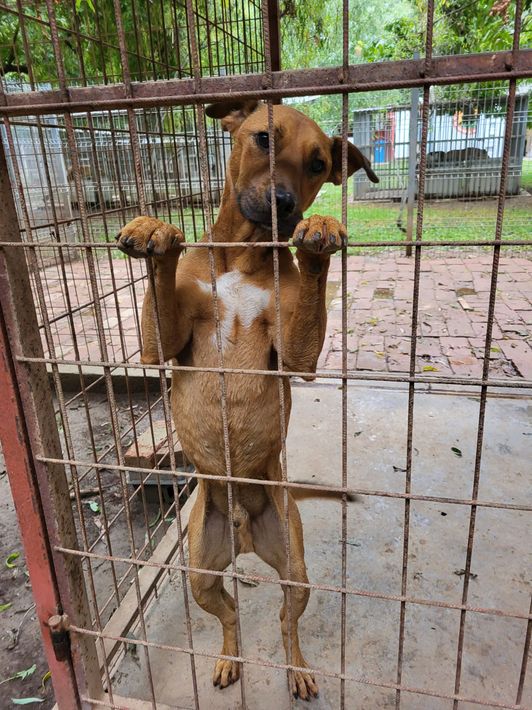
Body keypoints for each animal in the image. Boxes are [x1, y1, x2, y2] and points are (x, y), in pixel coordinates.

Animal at [116, 100, 378, 700]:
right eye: (263, 138)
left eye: (318, 163)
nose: (285, 205)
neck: (242, 255)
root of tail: (243, 534)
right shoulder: (159, 346)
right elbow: (160, 287)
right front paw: (154, 230)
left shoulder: (300, 357)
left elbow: (311, 290)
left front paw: (319, 232)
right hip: (199, 572)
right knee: (231, 614)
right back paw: (227, 659)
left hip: (294, 567)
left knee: (285, 620)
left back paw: (298, 669)